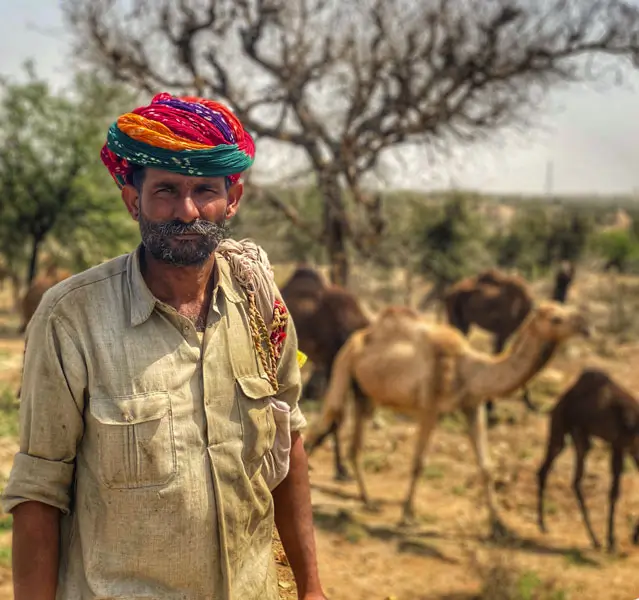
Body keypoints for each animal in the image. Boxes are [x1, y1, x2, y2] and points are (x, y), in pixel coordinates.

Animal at [304, 300, 592, 536]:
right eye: (556, 318)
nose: (584, 324)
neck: (471, 370)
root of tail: (359, 337)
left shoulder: (473, 406)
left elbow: (486, 467)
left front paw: (499, 525)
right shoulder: (430, 407)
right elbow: (419, 462)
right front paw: (407, 515)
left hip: (365, 393)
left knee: (355, 442)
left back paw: (368, 500)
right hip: (343, 366)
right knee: (326, 419)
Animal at [536, 368, 639, 552]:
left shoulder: (633, 449)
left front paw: (633, 536)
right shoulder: (619, 445)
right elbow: (614, 492)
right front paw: (612, 541)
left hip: (582, 438)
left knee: (575, 480)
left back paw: (594, 539)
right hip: (559, 429)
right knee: (545, 470)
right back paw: (543, 524)